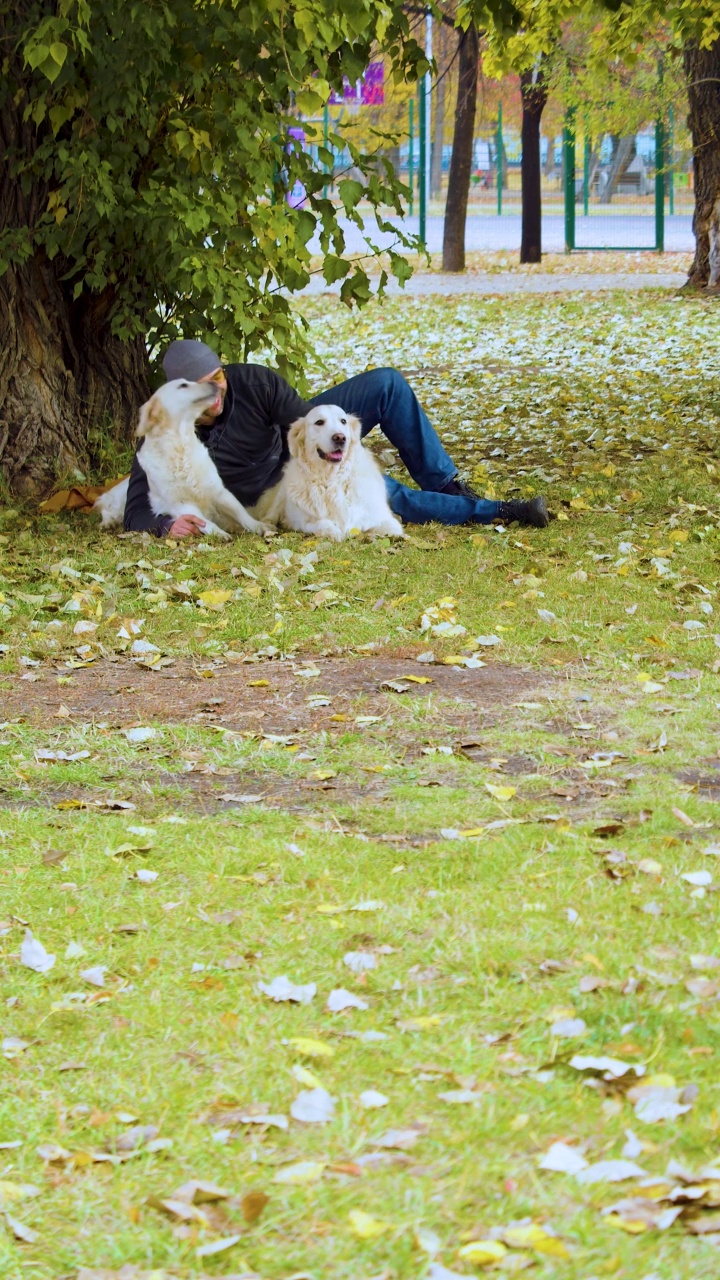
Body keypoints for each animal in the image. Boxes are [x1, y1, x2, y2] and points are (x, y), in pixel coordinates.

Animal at [94, 378, 272, 540]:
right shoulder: (182, 504)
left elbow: (241, 513)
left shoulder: (218, 490)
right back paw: (106, 523)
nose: (214, 383)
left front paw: (259, 526)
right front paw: (219, 533)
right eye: (183, 385)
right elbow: (205, 522)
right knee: (107, 507)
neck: (180, 447)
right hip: (119, 500)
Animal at [252, 399, 399, 540]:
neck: (331, 479)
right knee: (270, 513)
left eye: (343, 421)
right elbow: (322, 522)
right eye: (319, 422)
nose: (340, 437)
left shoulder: (381, 516)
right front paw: (334, 532)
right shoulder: (300, 521)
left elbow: (389, 527)